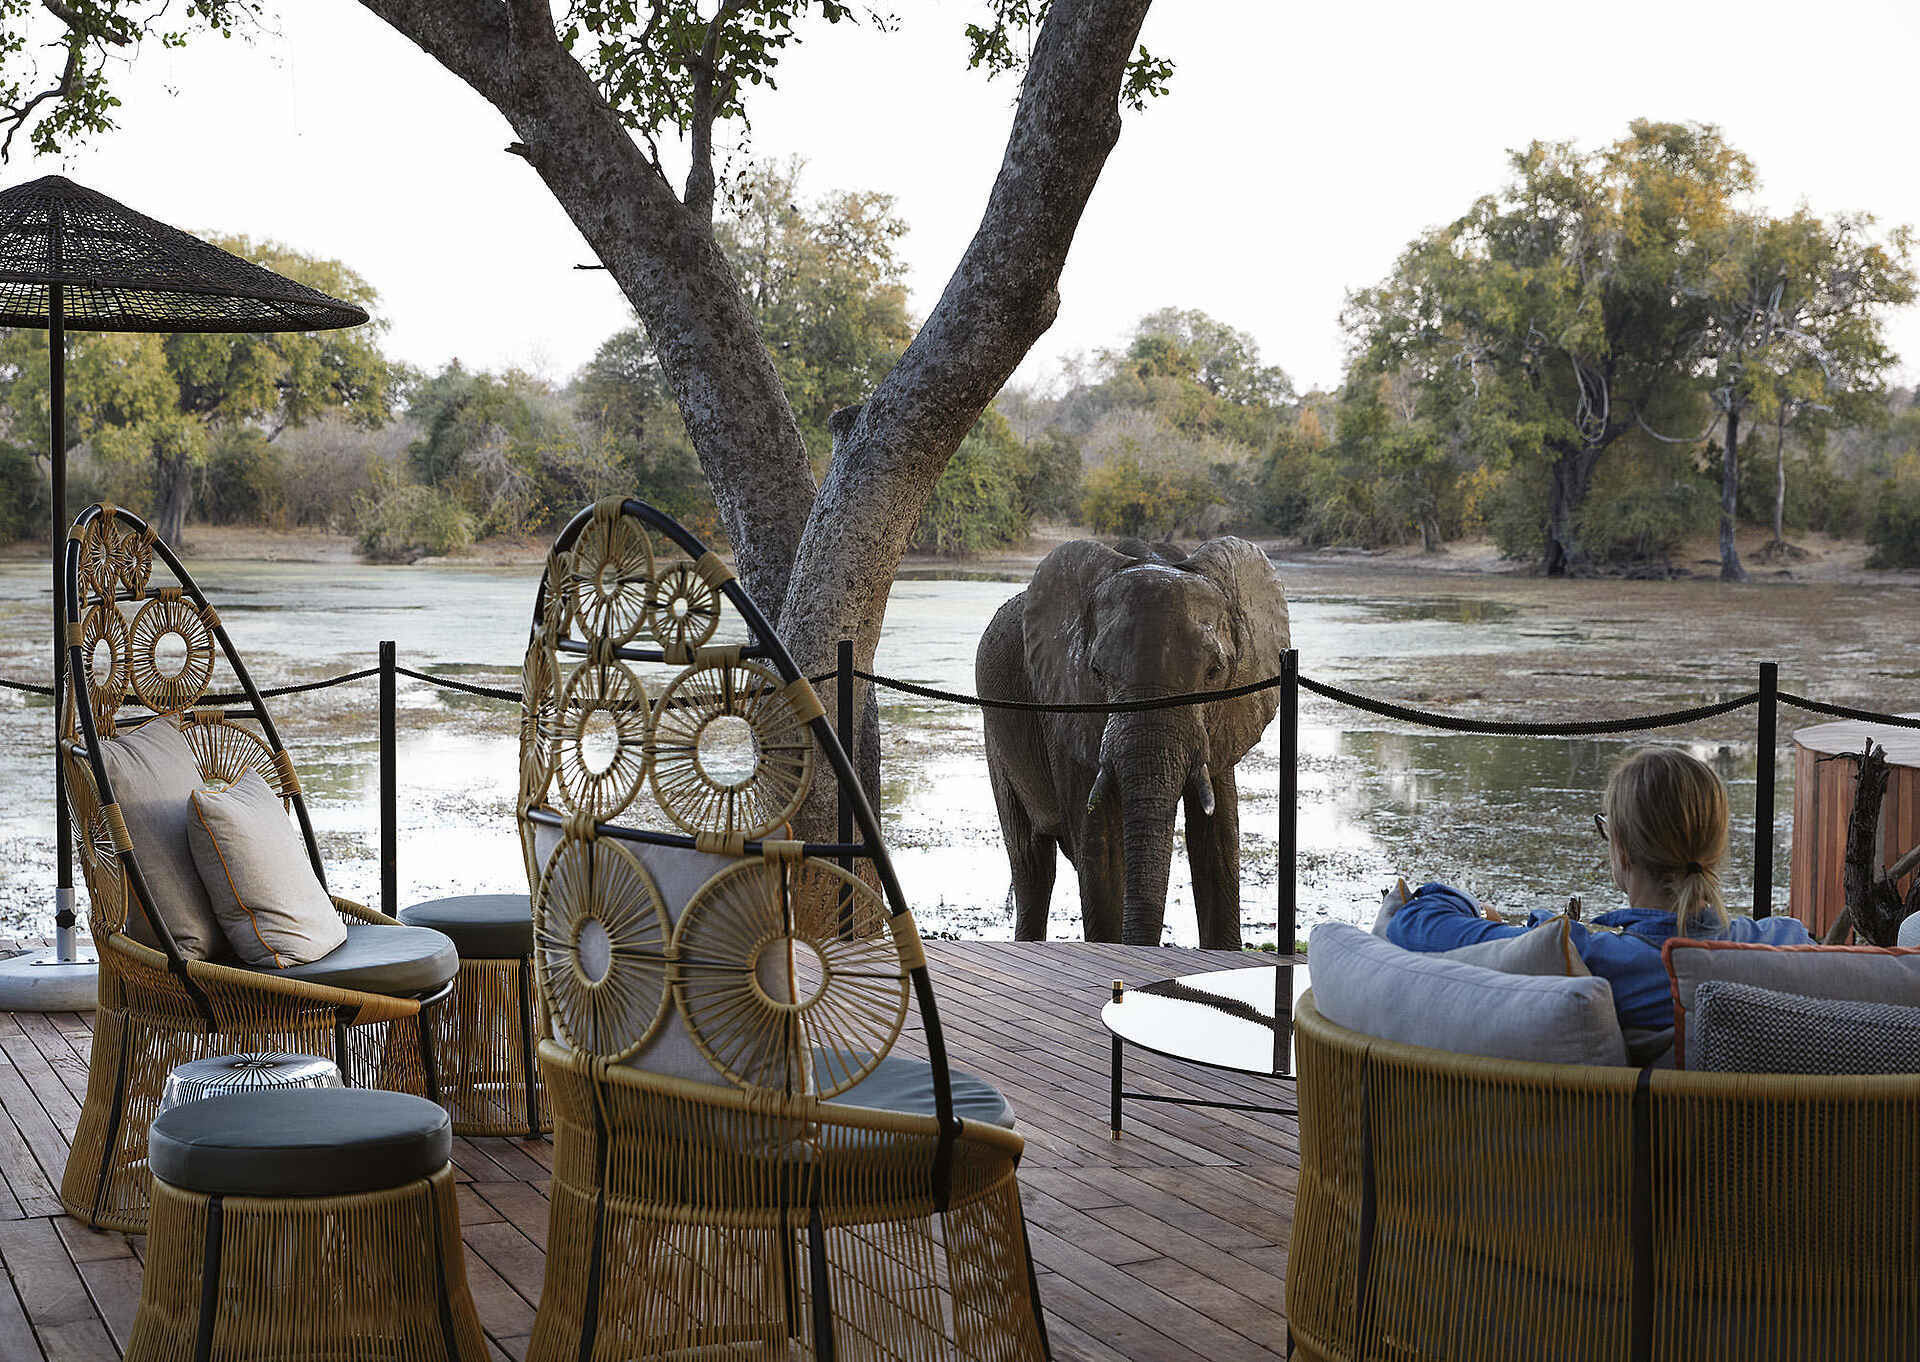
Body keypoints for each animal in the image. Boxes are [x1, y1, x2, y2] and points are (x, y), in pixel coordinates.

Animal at [976, 537, 1291, 949]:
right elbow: (1104, 852)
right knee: (1032, 864)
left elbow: (1219, 840)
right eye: (1097, 672)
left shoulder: (1225, 717)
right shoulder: (1066, 711)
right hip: (997, 732)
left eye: (1214, 672)